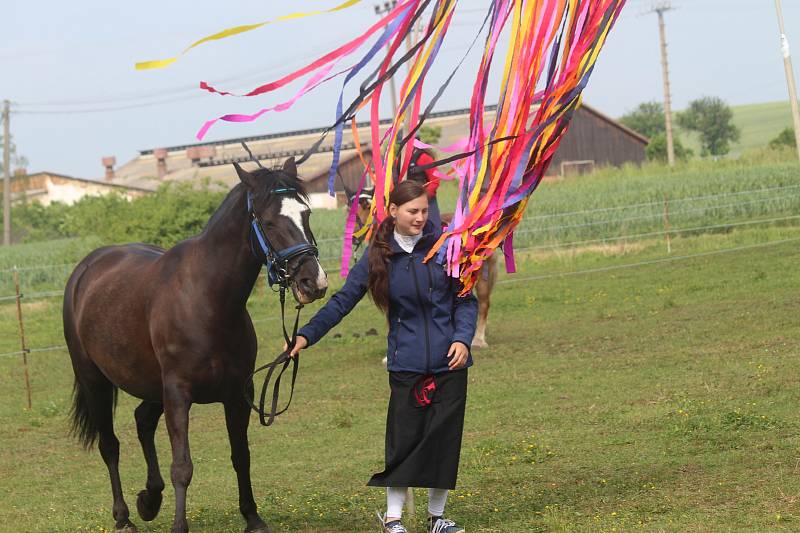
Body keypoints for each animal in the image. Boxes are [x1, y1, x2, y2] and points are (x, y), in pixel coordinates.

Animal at [61, 158, 326, 532]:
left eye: (306, 213)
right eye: (270, 221)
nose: (312, 282)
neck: (208, 300)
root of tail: (86, 269)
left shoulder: (237, 394)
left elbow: (241, 455)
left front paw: (252, 517)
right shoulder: (178, 393)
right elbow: (182, 466)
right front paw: (179, 525)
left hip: (151, 386)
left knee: (142, 421)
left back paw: (149, 500)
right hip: (96, 382)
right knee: (110, 445)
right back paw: (124, 516)